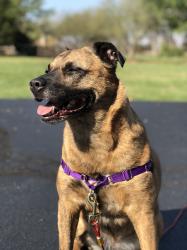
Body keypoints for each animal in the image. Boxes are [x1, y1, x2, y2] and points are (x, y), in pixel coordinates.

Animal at [30, 42, 163, 249]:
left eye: (73, 69)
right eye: (47, 69)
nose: (33, 84)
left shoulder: (143, 213)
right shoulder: (67, 205)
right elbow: (64, 243)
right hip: (80, 228)